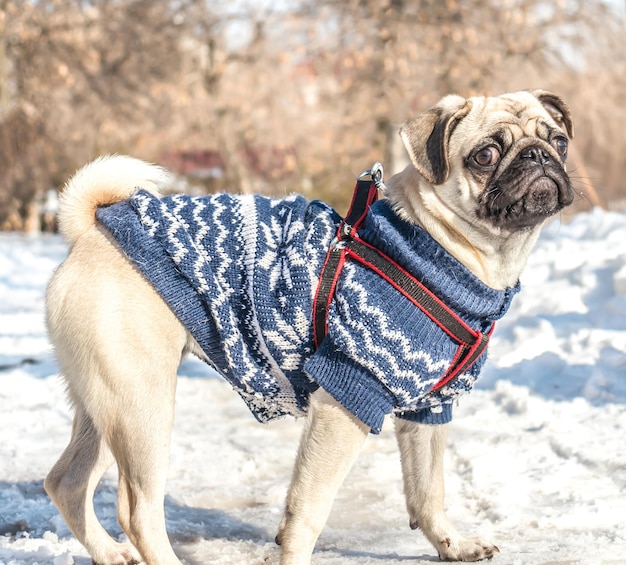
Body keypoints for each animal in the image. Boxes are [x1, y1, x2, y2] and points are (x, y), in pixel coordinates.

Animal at [44, 90, 572, 560]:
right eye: (485, 155)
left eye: (560, 140)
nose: (538, 155)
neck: (439, 251)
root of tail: (90, 231)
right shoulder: (347, 394)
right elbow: (308, 509)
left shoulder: (428, 410)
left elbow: (428, 490)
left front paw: (452, 545)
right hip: (142, 404)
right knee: (137, 511)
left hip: (106, 404)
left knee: (67, 483)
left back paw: (110, 554)